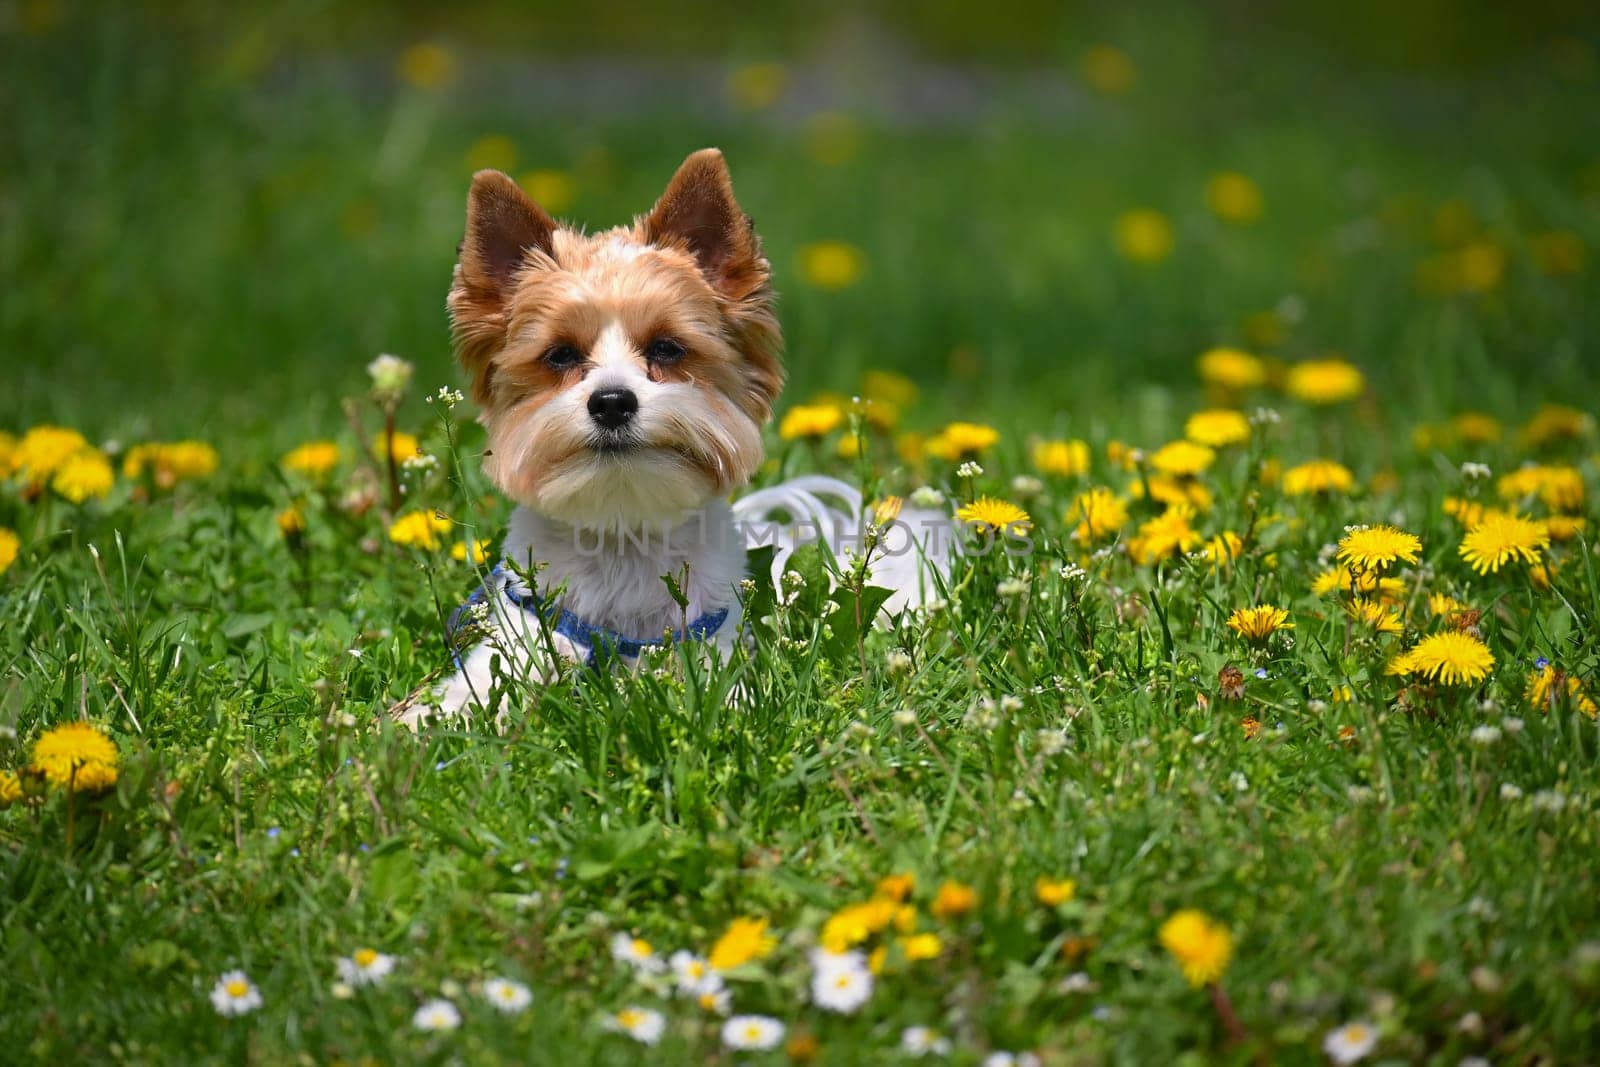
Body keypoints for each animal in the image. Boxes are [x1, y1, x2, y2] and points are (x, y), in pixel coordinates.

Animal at [398, 150, 940, 729]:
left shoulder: (710, 644)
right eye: (560, 355)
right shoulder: (526, 633)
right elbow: (472, 690)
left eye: (667, 347)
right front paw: (421, 722)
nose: (612, 402)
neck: (623, 534)